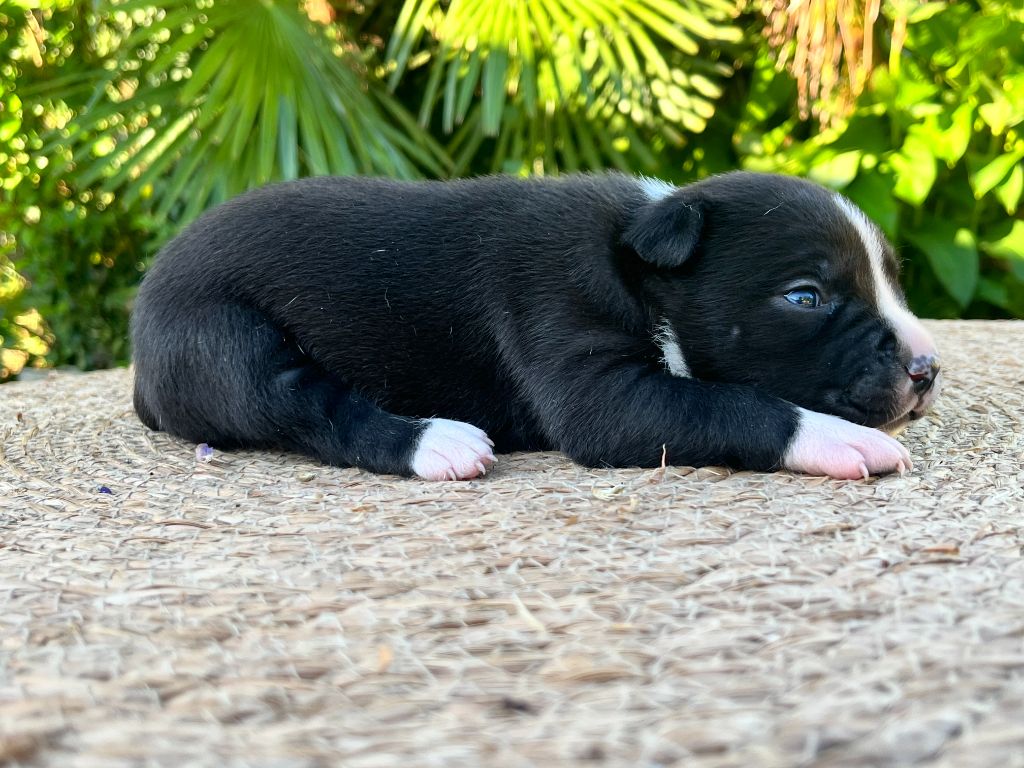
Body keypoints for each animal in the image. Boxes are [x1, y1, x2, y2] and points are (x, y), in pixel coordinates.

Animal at [131, 172, 940, 481]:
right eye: (806, 298)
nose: (928, 369)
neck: (635, 260)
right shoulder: (586, 365)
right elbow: (734, 402)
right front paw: (841, 440)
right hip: (222, 341)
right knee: (310, 410)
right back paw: (436, 442)